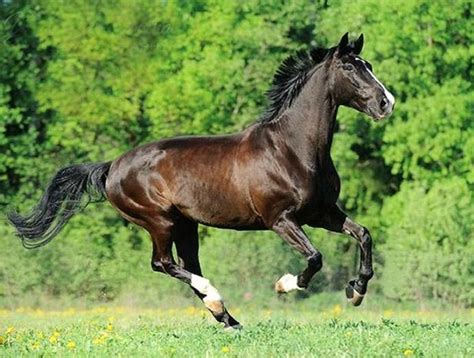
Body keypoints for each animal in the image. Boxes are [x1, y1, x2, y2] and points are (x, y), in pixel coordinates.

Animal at [7, 33, 394, 330]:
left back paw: (227, 318)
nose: (386, 102)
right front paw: (285, 286)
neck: (292, 148)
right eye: (350, 67)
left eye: (370, 66)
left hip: (185, 224)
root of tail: (111, 167)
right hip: (159, 220)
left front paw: (356, 291)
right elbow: (315, 258)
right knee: (164, 264)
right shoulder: (281, 220)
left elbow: (363, 235)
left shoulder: (322, 212)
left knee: (186, 265)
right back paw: (218, 301)